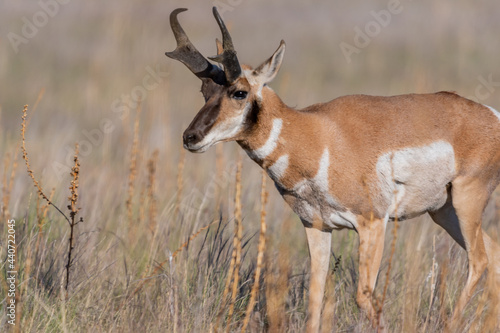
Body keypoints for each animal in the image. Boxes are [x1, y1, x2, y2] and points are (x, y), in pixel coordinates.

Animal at [166, 6, 500, 330]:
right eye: (204, 91)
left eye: (239, 92)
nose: (190, 137)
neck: (318, 136)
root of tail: (490, 114)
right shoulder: (316, 226)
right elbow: (315, 301)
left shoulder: (372, 223)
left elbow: (364, 297)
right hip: (443, 211)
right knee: (493, 255)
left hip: (466, 201)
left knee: (480, 261)